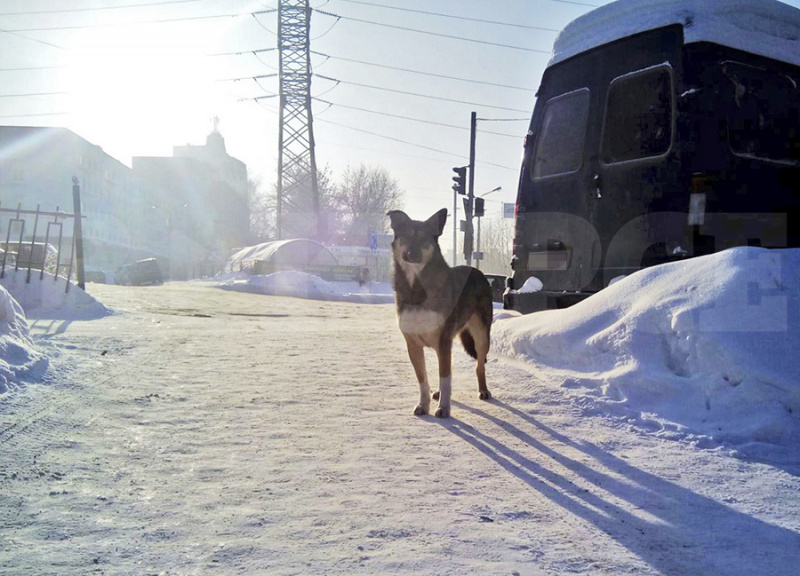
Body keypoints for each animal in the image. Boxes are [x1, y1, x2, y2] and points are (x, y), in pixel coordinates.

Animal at [388, 209, 494, 416]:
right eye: (406, 236)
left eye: (424, 238)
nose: (412, 254)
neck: (416, 287)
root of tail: (476, 270)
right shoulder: (413, 345)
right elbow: (423, 380)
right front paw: (423, 405)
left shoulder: (443, 341)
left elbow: (445, 378)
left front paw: (444, 409)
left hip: (481, 335)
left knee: (479, 366)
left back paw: (483, 390)